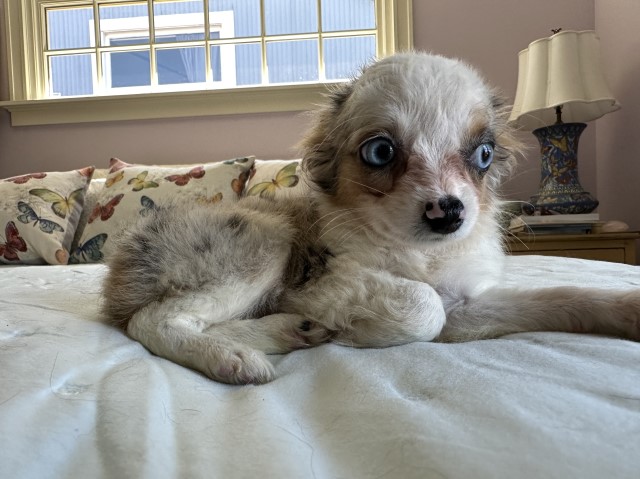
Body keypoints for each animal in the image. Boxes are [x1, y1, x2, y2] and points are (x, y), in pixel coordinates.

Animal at [102, 52, 636, 384]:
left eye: (483, 155)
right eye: (380, 152)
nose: (449, 212)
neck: (416, 254)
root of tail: (121, 268)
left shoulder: (467, 309)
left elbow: (562, 297)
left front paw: (627, 309)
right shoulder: (322, 282)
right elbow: (424, 306)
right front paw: (359, 330)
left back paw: (286, 331)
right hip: (266, 241)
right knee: (150, 321)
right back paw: (233, 353)